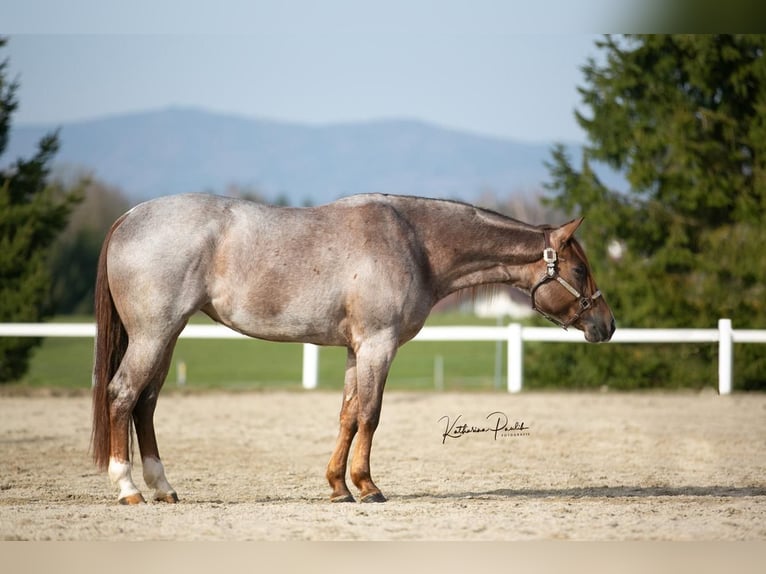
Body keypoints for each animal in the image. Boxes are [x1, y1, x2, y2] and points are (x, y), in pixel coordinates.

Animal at [91, 192, 616, 504]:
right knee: (122, 395)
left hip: (166, 336)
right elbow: (371, 414)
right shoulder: (378, 345)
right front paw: (366, 486)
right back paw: (128, 488)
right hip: (154, 335)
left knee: (146, 404)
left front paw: (338, 487)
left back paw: (163, 488)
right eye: (579, 270)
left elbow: (347, 414)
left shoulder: (354, 349)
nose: (606, 326)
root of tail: (128, 217)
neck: (416, 243)